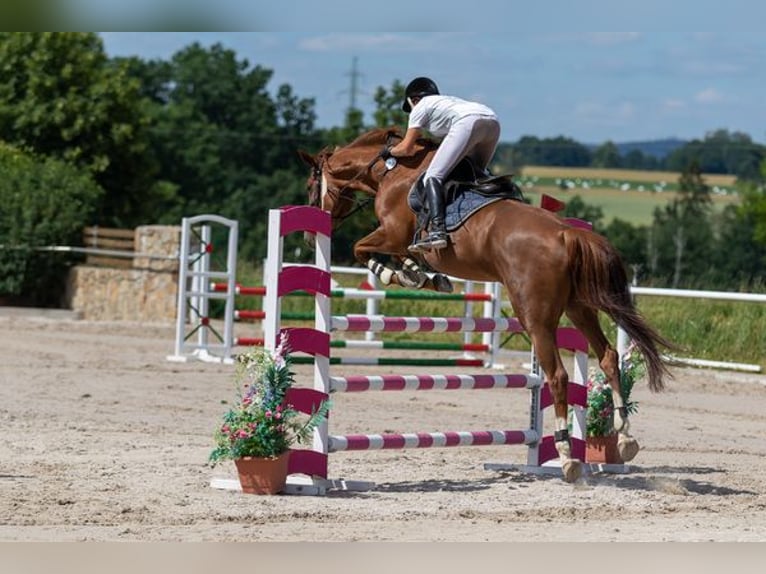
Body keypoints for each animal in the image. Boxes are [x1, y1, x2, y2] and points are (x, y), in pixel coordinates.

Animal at [298, 127, 673, 482]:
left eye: (311, 184)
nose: (308, 236)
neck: (390, 169)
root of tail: (567, 233)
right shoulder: (398, 240)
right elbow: (397, 257)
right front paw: (421, 274)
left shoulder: (391, 234)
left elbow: (363, 250)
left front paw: (402, 274)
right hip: (578, 307)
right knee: (608, 356)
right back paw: (624, 438)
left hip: (534, 315)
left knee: (558, 375)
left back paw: (567, 455)